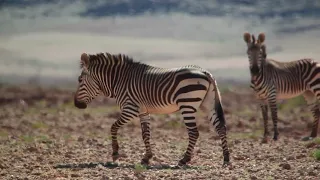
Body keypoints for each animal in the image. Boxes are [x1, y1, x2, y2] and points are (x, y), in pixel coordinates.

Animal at [73, 51, 230, 166]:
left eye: (80, 80)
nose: (76, 104)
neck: (119, 80)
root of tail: (205, 72)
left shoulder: (130, 109)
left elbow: (113, 127)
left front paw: (115, 153)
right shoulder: (143, 111)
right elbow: (145, 134)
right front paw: (147, 157)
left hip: (187, 104)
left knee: (194, 133)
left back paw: (184, 159)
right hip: (208, 104)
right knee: (220, 127)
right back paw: (226, 159)